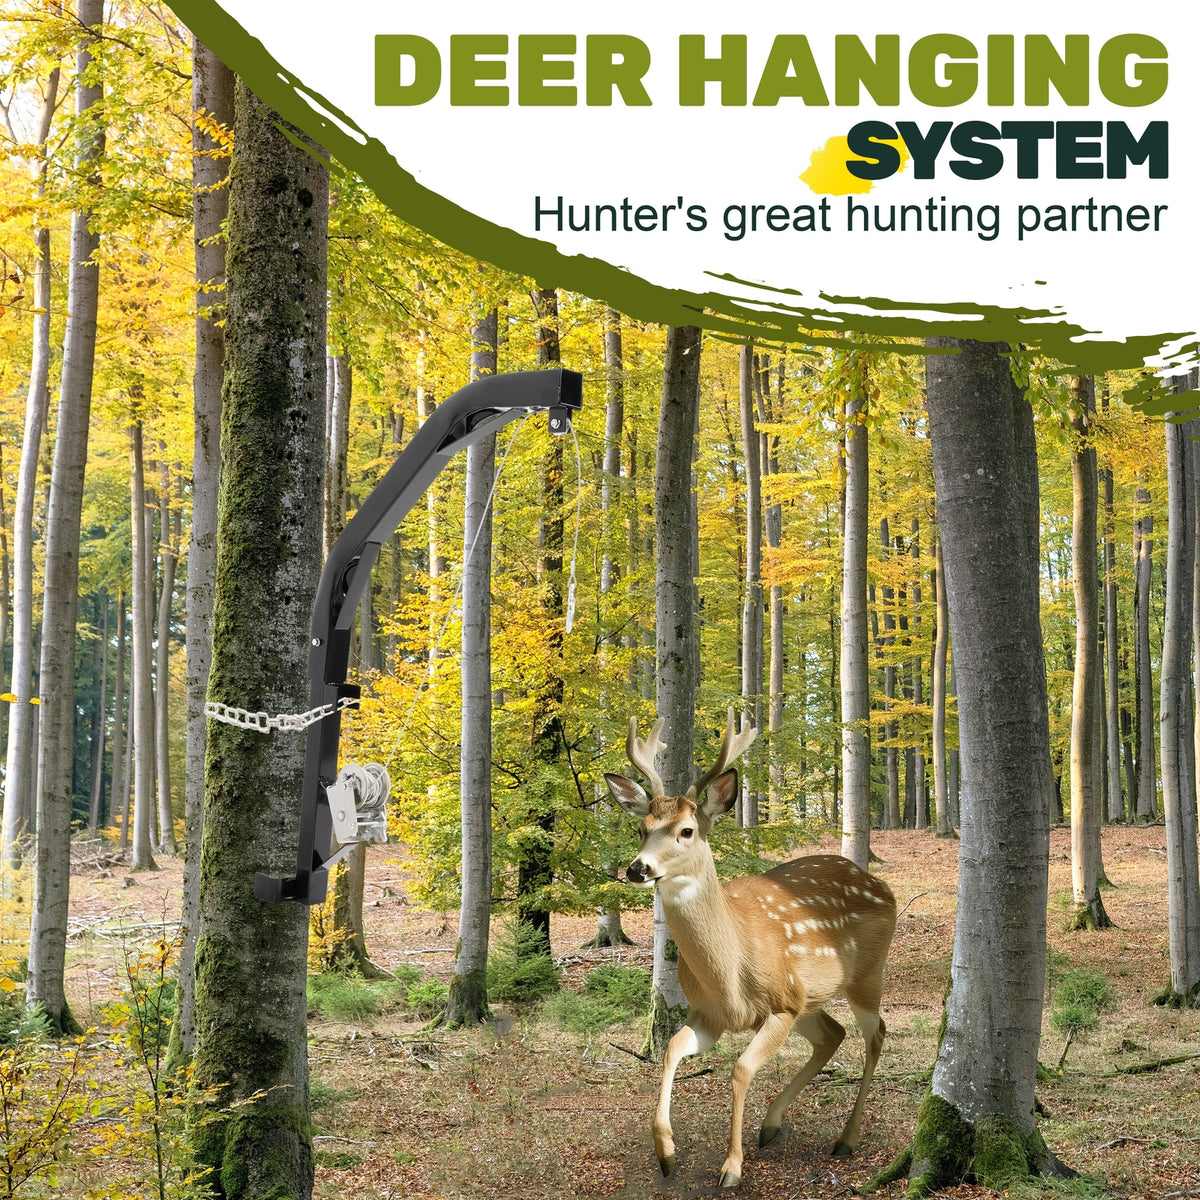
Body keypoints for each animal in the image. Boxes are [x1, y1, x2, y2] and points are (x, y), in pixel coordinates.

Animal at [604, 709, 897, 1189]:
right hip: (811, 999)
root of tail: (879, 884)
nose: (637, 869)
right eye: (640, 828)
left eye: (687, 830)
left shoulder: (781, 1002)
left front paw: (731, 1167)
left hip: (865, 973)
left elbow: (741, 1069)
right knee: (832, 1034)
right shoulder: (709, 1013)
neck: (730, 975)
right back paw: (772, 1124)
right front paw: (666, 1153)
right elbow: (671, 1048)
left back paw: (845, 1138)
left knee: (875, 1035)